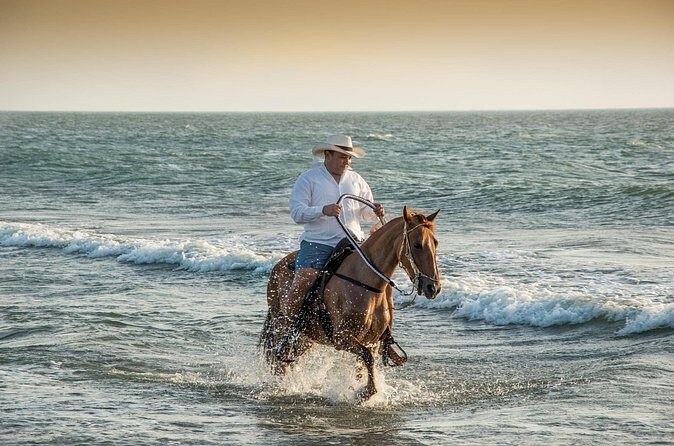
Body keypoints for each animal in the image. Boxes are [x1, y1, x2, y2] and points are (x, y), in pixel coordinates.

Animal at [260, 207, 441, 401]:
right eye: (417, 245)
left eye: (435, 243)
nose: (433, 287)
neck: (363, 280)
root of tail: (277, 267)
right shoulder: (342, 337)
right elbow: (367, 358)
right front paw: (365, 392)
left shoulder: (370, 341)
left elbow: (362, 365)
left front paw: (360, 389)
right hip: (283, 326)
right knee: (278, 358)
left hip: (306, 338)